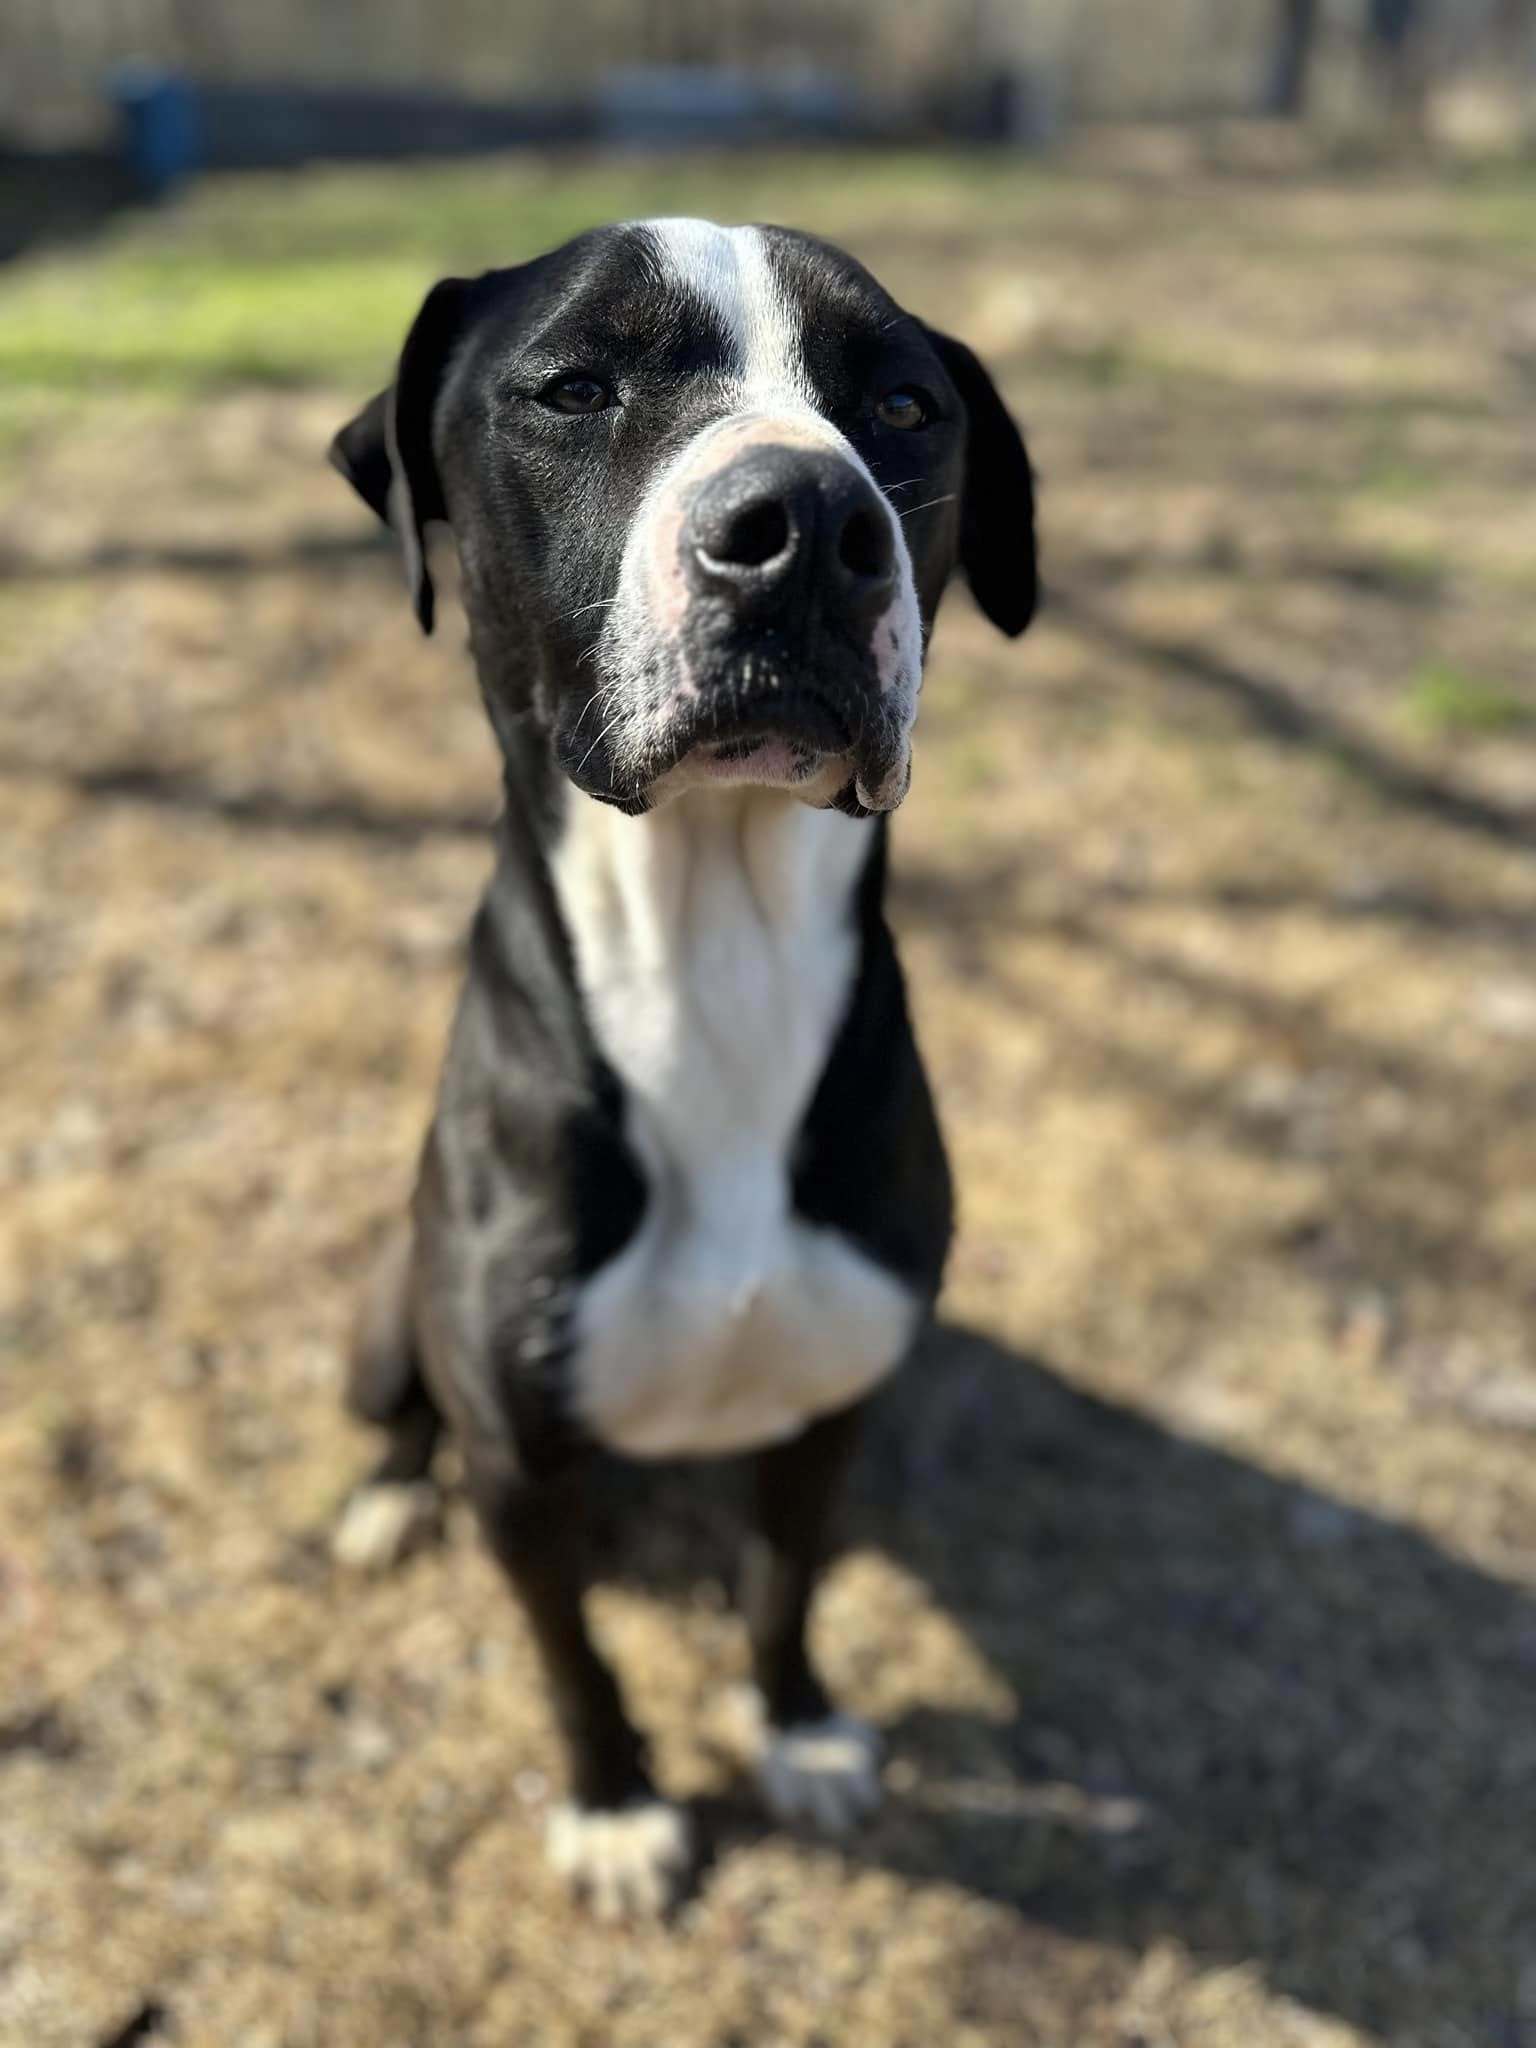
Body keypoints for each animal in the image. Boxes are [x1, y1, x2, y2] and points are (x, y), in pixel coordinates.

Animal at [329, 224, 1040, 1916]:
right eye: (574, 387)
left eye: (905, 406)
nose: (809, 527)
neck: (717, 968)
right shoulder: (520, 1466)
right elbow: (570, 1657)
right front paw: (616, 1809)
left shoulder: (828, 1405)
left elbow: (784, 1591)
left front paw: (799, 1734)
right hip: (388, 1316)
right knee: (400, 1415)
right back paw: (385, 1501)